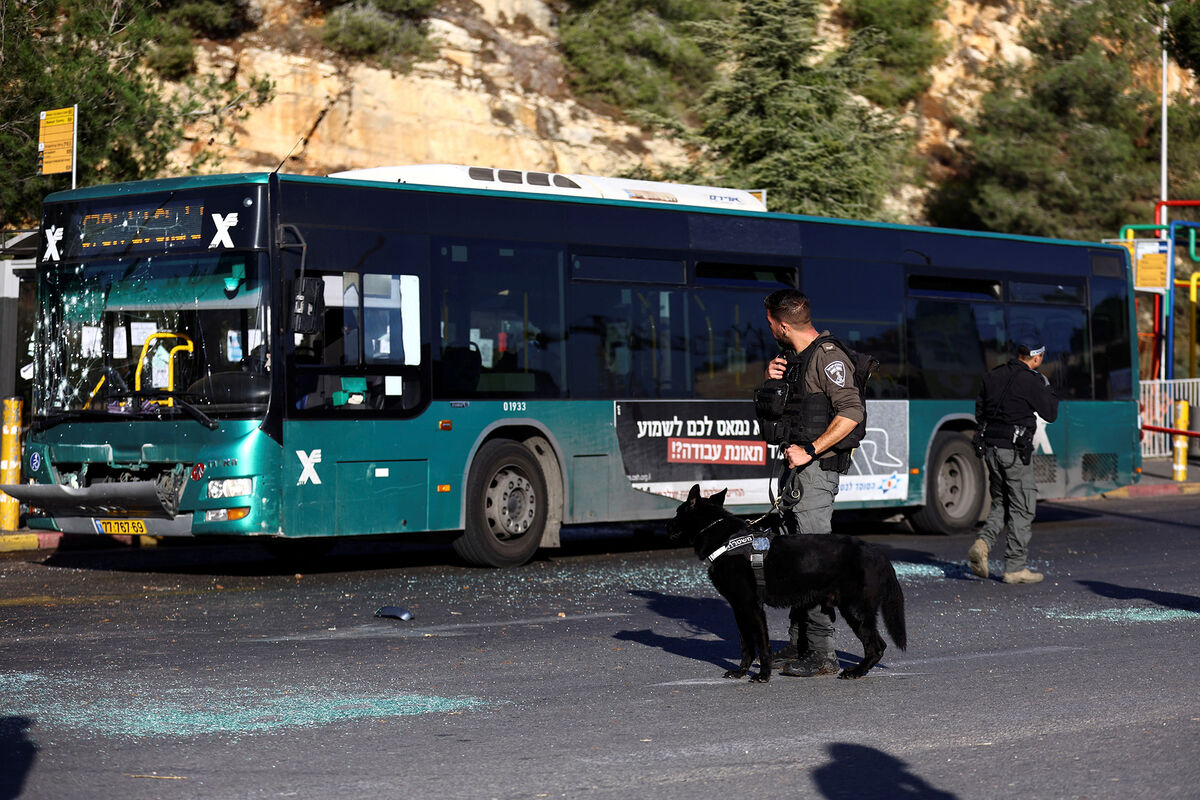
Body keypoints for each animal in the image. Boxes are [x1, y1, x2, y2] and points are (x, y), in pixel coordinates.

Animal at [672, 482, 902, 681]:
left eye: (676, 512)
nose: (667, 527)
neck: (726, 541)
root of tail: (876, 551)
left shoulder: (753, 608)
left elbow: (762, 646)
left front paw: (763, 675)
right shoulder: (739, 609)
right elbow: (746, 645)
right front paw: (741, 671)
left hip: (855, 610)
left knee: (876, 647)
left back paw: (856, 672)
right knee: (878, 645)